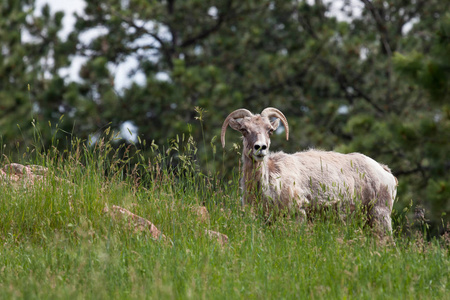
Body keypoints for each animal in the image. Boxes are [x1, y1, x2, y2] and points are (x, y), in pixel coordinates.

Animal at [221, 108, 398, 234]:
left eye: (270, 130)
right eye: (244, 129)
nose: (260, 148)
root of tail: (386, 173)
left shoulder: (297, 215)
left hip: (380, 216)